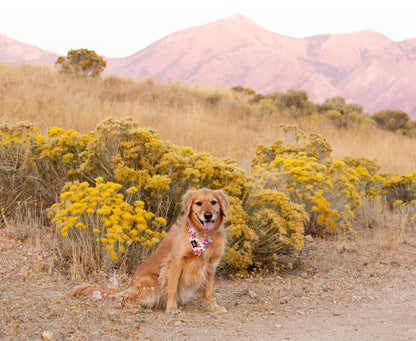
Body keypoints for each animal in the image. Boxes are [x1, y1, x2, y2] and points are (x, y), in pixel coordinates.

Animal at [70, 187, 229, 312]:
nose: (208, 215)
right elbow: (172, 288)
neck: (202, 236)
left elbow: (210, 291)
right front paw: (172, 308)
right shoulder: (175, 263)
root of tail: (129, 286)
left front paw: (215, 308)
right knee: (125, 299)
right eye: (198, 203)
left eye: (213, 202)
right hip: (150, 282)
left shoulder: (210, 266)